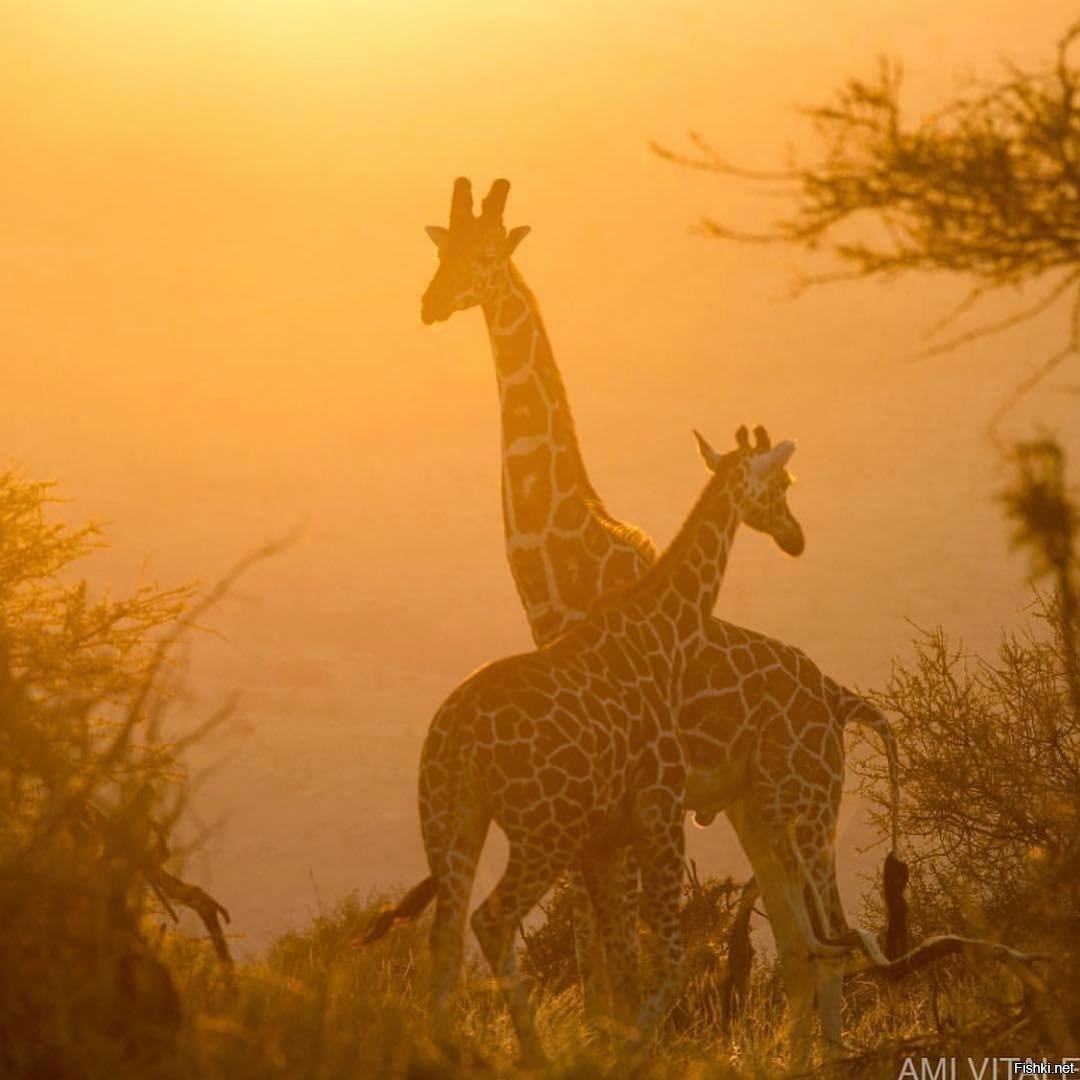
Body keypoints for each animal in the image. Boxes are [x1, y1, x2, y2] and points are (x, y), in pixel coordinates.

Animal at [393, 425, 799, 1058]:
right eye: (783, 483)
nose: (795, 537)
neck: (666, 633)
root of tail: (455, 733)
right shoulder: (658, 811)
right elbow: (667, 958)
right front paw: (633, 1049)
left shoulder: (608, 837)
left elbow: (621, 959)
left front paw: (617, 1041)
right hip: (543, 830)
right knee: (490, 918)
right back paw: (532, 1052)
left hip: (449, 819)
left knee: (446, 929)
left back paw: (446, 1050)